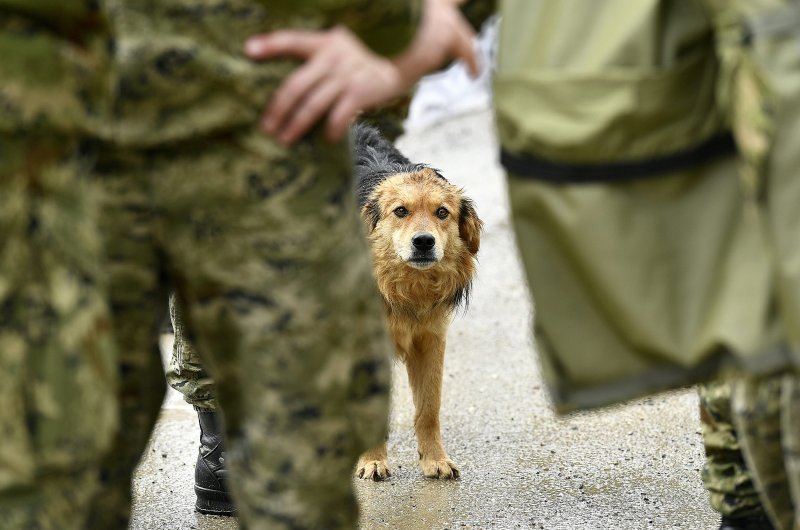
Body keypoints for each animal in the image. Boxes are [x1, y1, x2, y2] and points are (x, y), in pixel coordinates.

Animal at [352, 125, 482, 478]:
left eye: (442, 212)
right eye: (401, 211)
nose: (423, 242)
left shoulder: (430, 339)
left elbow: (429, 408)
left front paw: (434, 459)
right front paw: (372, 461)